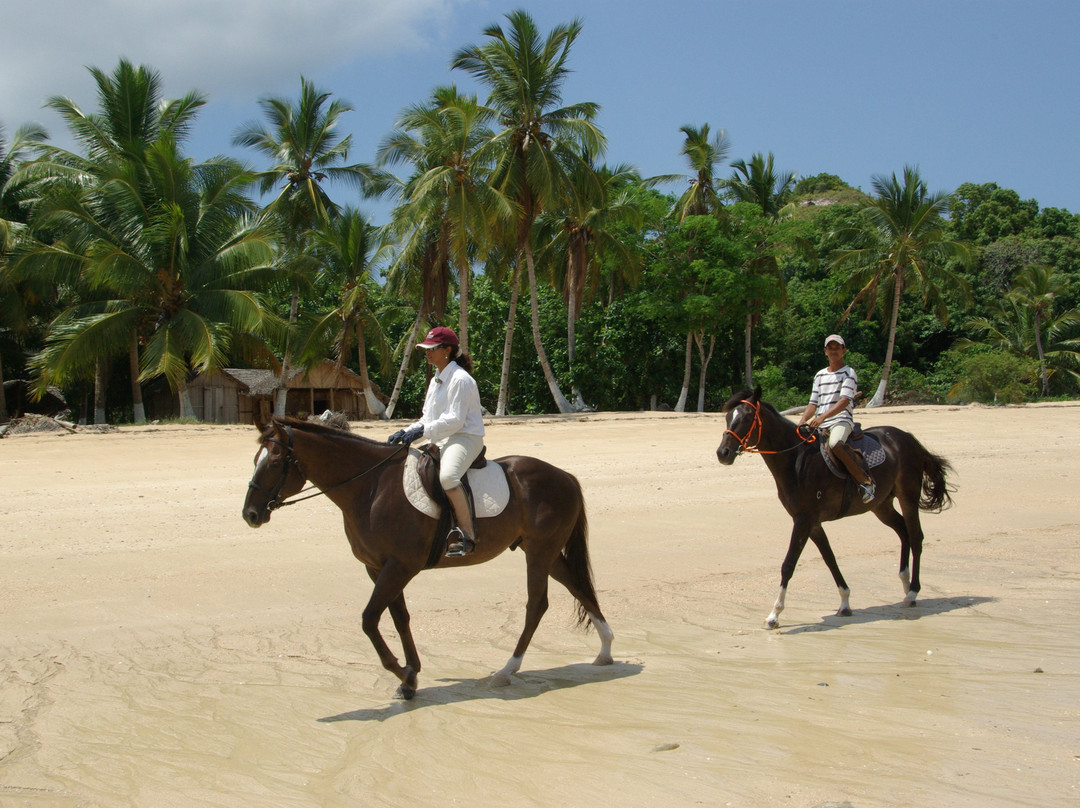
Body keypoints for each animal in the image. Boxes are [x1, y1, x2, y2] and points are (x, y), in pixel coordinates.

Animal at [246, 416, 617, 699]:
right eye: (255, 461)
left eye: (275, 462)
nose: (250, 514)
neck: (371, 486)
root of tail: (565, 476)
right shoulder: (378, 568)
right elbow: (399, 618)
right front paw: (410, 677)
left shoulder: (399, 566)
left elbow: (369, 619)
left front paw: (403, 674)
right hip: (544, 552)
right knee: (578, 587)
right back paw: (605, 651)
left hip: (540, 554)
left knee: (537, 605)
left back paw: (507, 669)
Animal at [717, 388, 954, 626]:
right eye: (728, 418)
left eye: (747, 418)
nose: (723, 453)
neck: (796, 461)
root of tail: (907, 438)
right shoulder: (812, 523)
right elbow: (829, 558)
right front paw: (845, 602)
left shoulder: (804, 520)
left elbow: (789, 564)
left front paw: (774, 614)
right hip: (881, 505)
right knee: (903, 532)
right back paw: (905, 584)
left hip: (908, 498)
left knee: (915, 536)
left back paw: (912, 592)